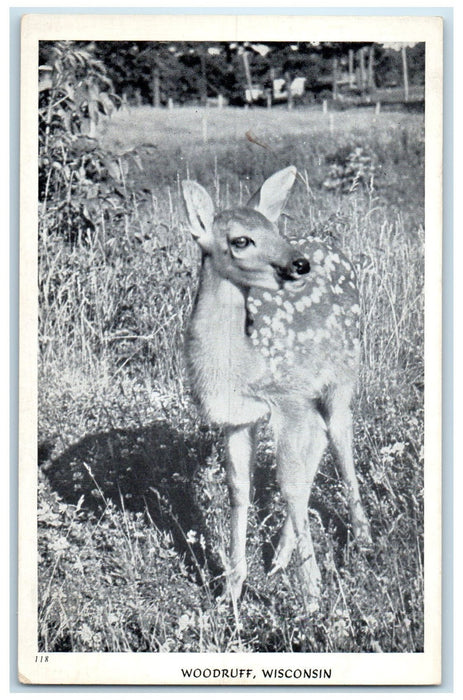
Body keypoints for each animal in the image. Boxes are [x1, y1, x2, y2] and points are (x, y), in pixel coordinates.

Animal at [181, 165, 371, 607]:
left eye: (274, 228)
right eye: (241, 240)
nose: (298, 263)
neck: (239, 364)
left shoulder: (288, 398)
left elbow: (289, 483)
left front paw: (313, 594)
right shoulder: (236, 417)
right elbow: (239, 489)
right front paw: (231, 588)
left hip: (343, 372)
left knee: (339, 437)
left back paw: (363, 540)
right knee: (319, 444)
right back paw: (282, 555)